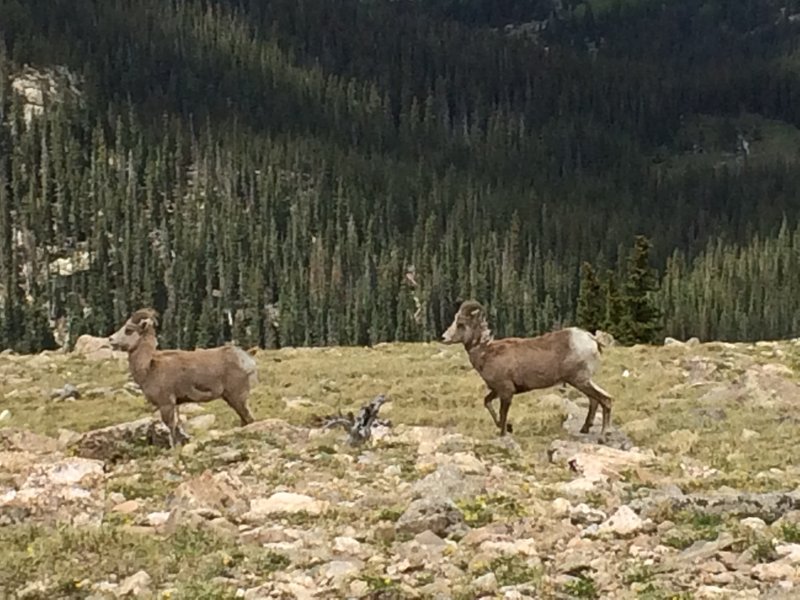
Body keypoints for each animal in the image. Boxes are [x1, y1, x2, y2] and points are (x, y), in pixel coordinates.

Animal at [108, 310, 256, 446]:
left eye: (128, 330)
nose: (110, 339)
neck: (149, 367)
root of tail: (248, 361)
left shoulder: (166, 404)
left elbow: (171, 428)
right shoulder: (176, 404)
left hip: (237, 398)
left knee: (249, 419)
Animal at [444, 302, 612, 438]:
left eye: (460, 324)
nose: (444, 337)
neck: (486, 352)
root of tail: (591, 339)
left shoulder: (506, 391)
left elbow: (502, 414)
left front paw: (504, 433)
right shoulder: (496, 391)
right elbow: (487, 403)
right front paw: (509, 428)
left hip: (579, 381)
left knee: (605, 400)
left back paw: (603, 436)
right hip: (583, 381)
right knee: (595, 400)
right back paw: (585, 429)